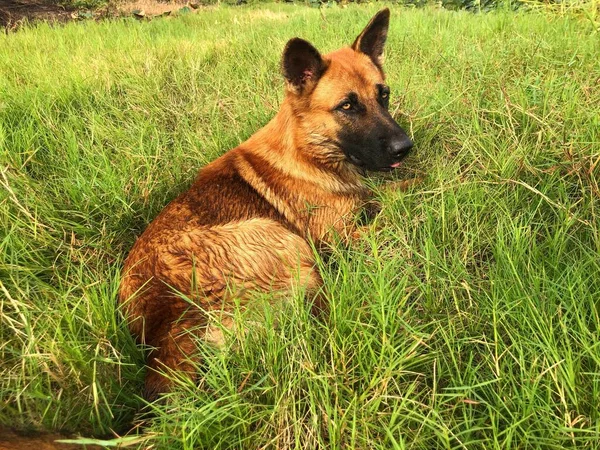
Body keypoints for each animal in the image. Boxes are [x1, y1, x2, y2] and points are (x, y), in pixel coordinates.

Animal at [119, 7, 414, 400]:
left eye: (384, 96)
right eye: (348, 106)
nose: (405, 148)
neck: (309, 151)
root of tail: (169, 325)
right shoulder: (340, 235)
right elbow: (400, 201)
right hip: (282, 238)